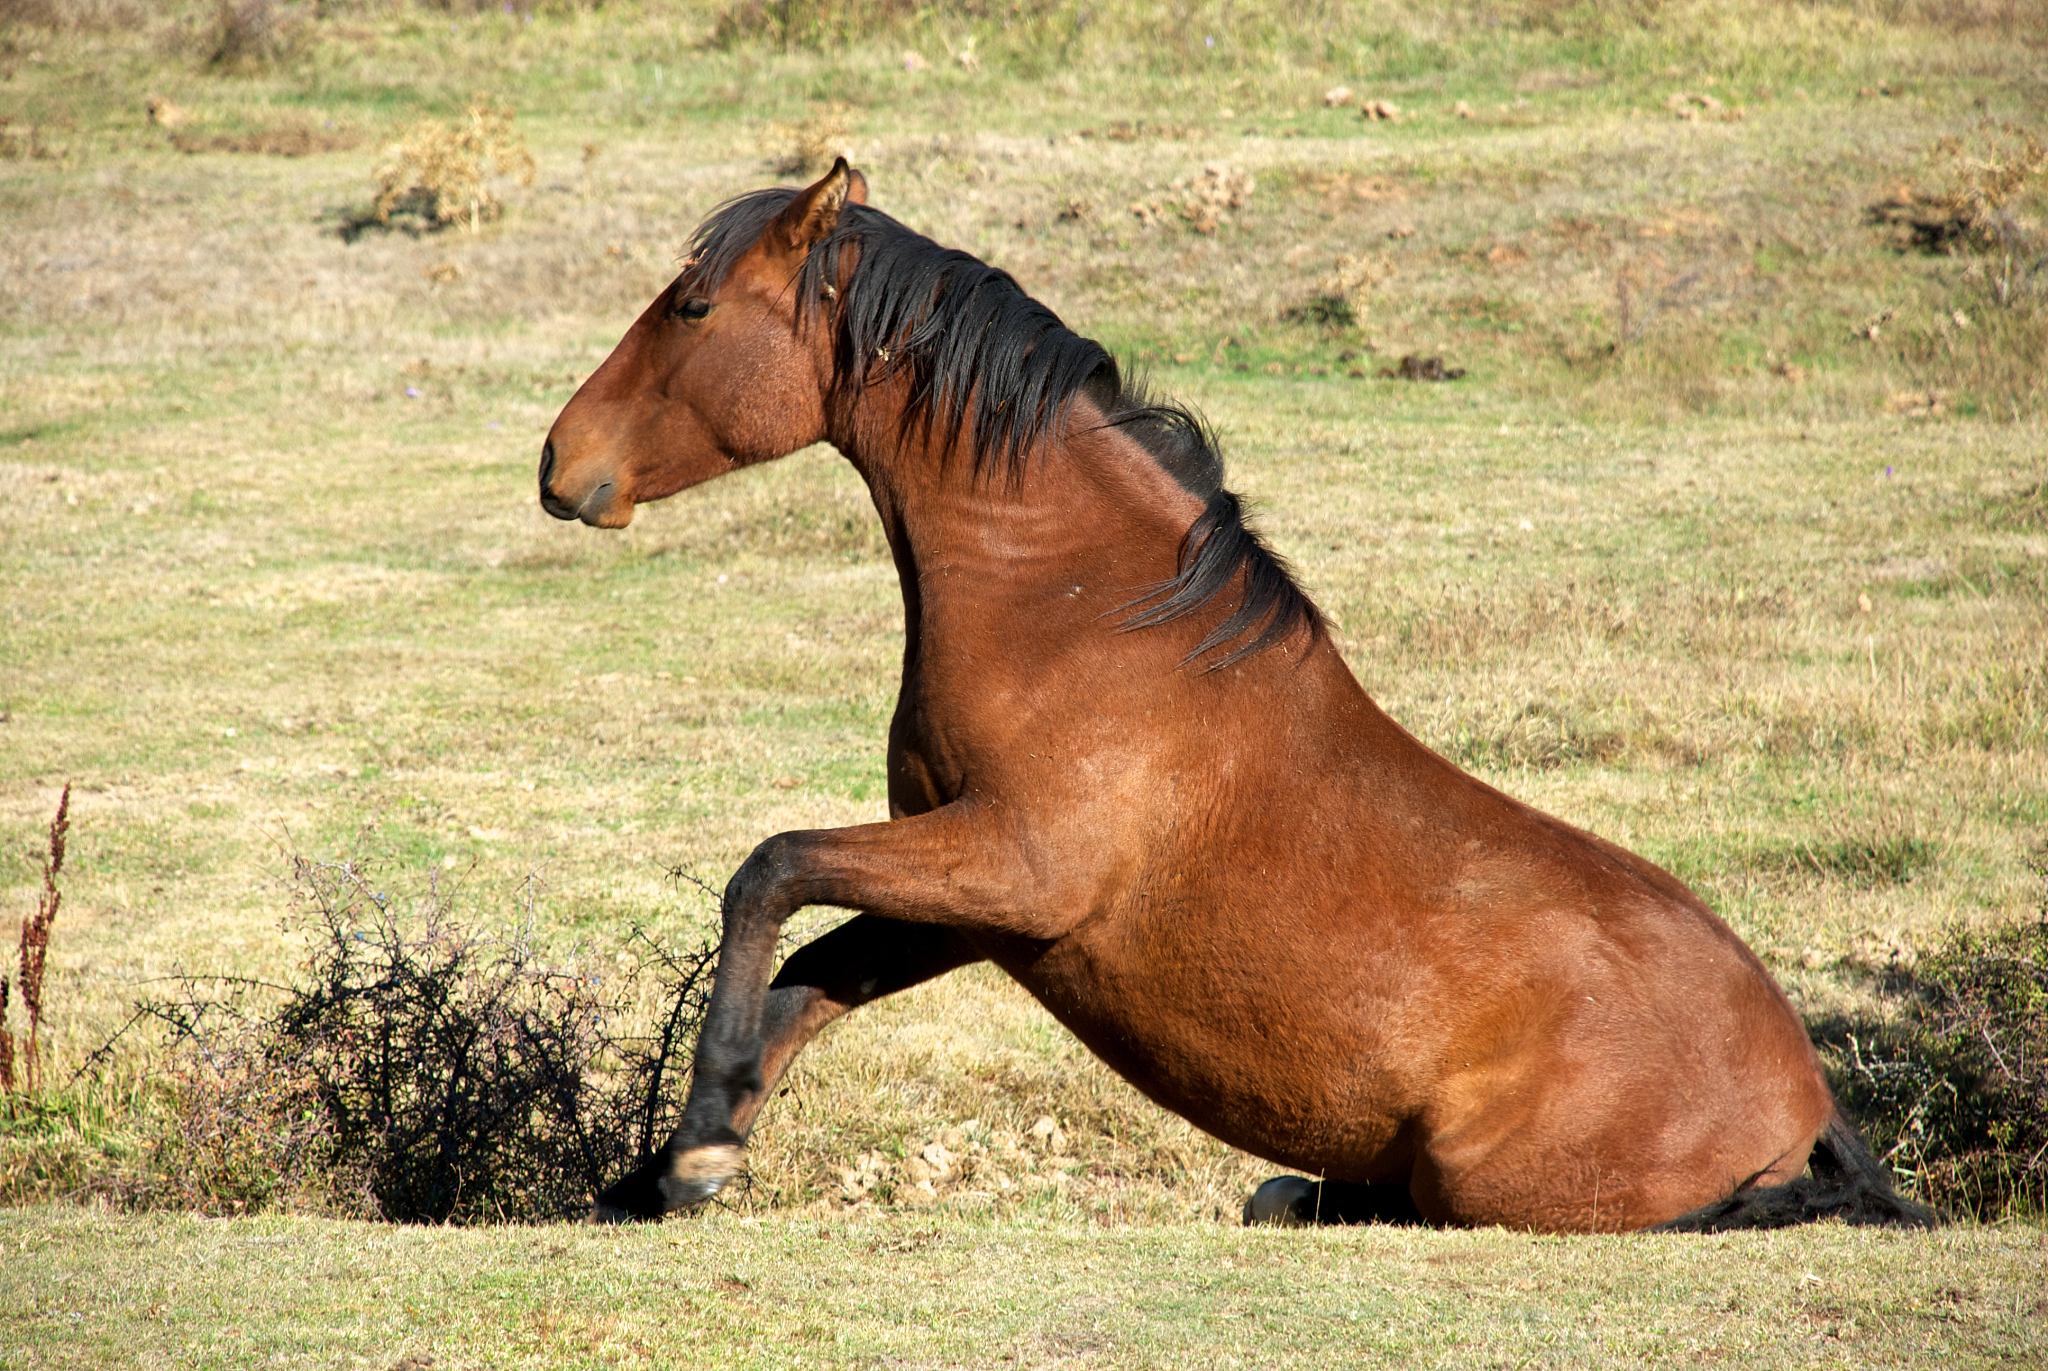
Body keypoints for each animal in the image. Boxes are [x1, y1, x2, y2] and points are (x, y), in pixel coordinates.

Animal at [538, 160, 1931, 1233]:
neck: (1076, 612)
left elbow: (765, 872)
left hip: (1479, 1177)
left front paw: (697, 1147)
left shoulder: (1009, 869)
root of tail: (1803, 1091)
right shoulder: (978, 904)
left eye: (692, 304)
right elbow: (804, 977)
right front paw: (675, 1164)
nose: (560, 465)